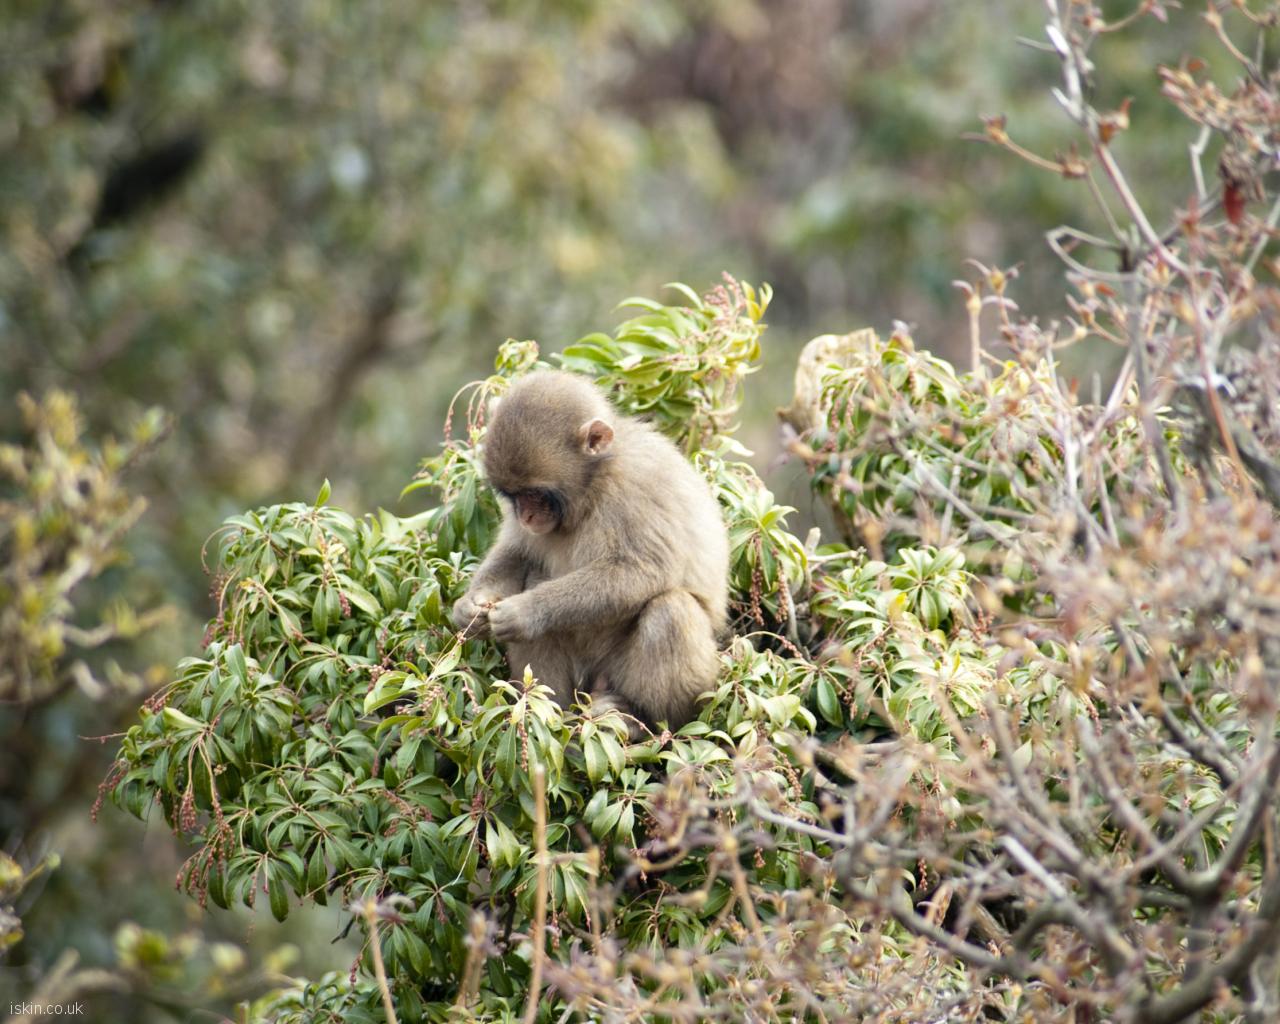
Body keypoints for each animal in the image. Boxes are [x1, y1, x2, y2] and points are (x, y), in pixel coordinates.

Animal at [451, 370, 729, 733]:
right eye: (514, 496)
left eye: (536, 494)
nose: (526, 516)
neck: (593, 485)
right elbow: (517, 553)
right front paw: (469, 607)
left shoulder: (638, 485)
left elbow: (644, 571)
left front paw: (526, 611)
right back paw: (548, 711)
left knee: (671, 610)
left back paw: (643, 722)